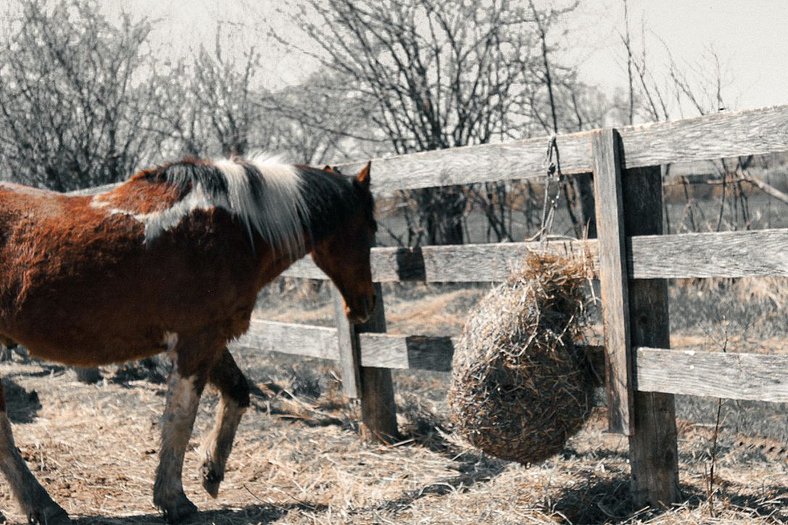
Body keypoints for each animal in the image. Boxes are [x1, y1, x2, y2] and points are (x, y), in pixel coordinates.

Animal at [0, 157, 378, 524]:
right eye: (371, 228)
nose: (366, 305)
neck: (233, 227)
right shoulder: (197, 342)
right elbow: (180, 419)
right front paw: (174, 499)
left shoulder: (211, 338)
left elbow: (238, 392)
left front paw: (211, 471)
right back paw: (45, 507)